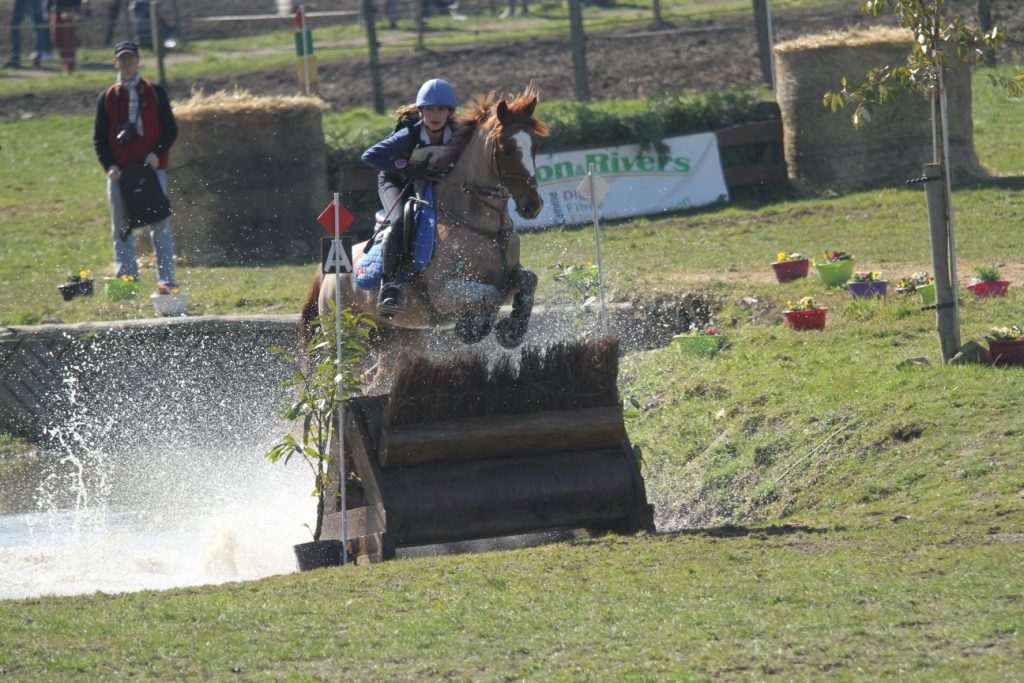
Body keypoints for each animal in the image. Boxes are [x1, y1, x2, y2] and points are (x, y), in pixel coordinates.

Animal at [299, 84, 548, 387]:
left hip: (398, 337)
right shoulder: (444, 292)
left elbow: (529, 281)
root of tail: (327, 272)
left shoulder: (509, 274)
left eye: (535, 146)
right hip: (348, 336)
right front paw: (473, 327)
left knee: (375, 379)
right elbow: (489, 294)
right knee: (347, 376)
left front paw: (512, 331)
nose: (532, 206)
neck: (483, 226)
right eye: (507, 149)